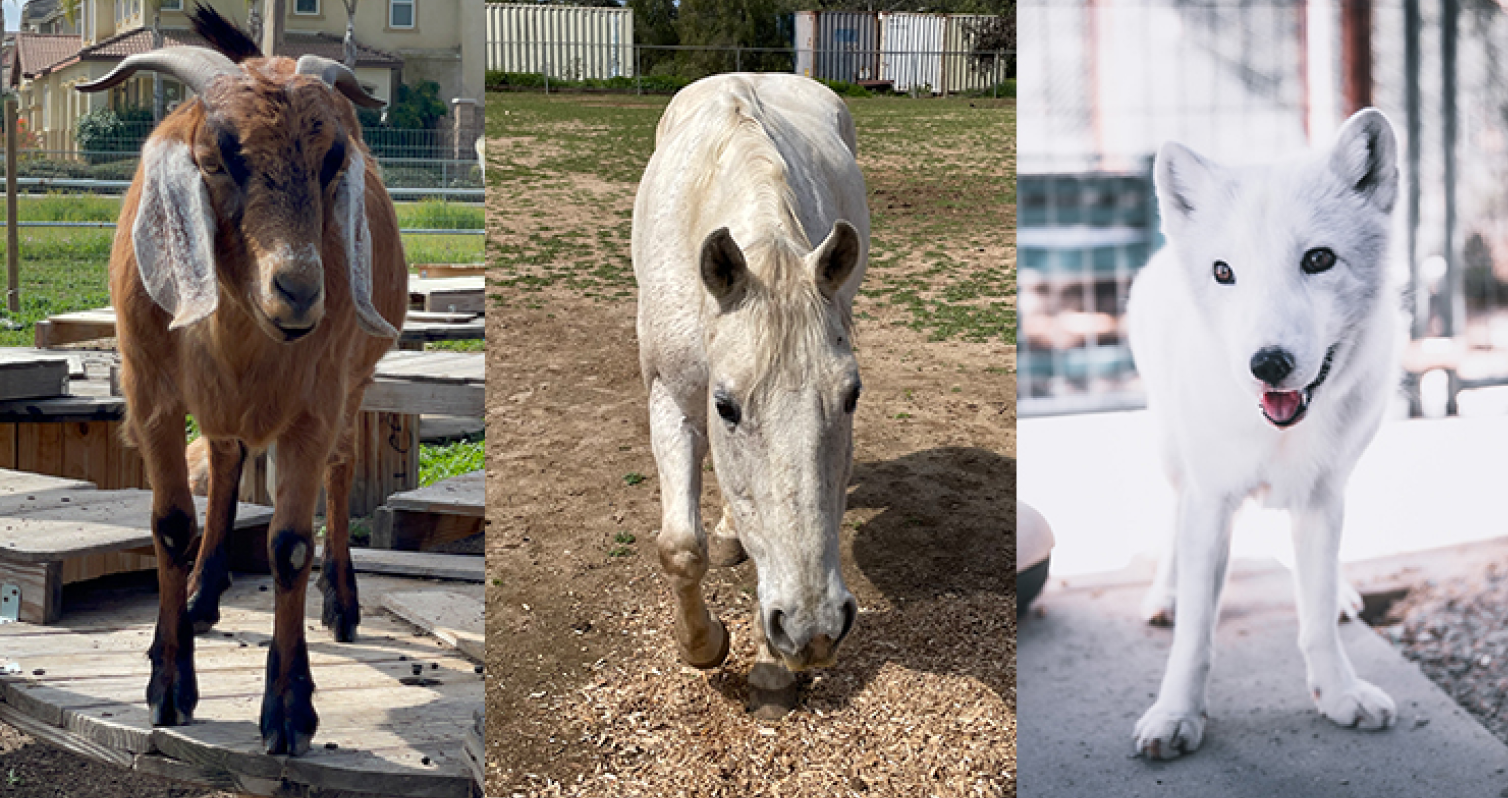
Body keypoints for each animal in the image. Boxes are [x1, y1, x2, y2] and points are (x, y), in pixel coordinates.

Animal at [75, 6, 407, 754]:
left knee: (342, 468)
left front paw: (288, 711)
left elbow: (288, 545)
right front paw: (169, 685)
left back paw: (341, 602)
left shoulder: (316, 402)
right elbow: (172, 525)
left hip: (354, 383)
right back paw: (202, 595)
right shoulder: (151, 391)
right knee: (226, 461)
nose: (299, 291)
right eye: (217, 156)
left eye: (333, 159)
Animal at [636, 71, 874, 712]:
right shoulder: (671, 400)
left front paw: (771, 670)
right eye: (726, 406)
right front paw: (703, 645)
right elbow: (679, 547)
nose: (815, 632)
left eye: (851, 396)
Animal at [1134, 107, 1399, 760]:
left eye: (1319, 260)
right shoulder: (1211, 499)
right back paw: (1163, 597)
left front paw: (1340, 695)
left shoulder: (1323, 498)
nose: (1268, 364)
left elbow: (1316, 617)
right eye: (1223, 272)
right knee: (1172, 523)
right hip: (1174, 458)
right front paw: (1176, 716)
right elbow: (1195, 635)